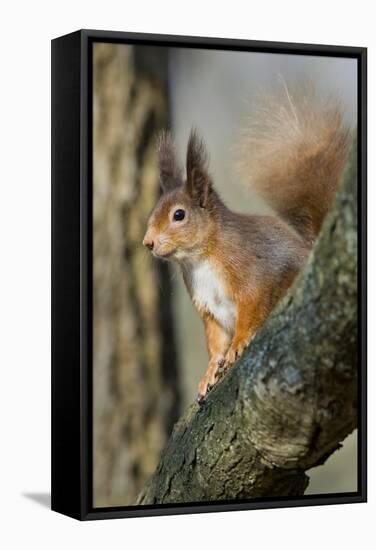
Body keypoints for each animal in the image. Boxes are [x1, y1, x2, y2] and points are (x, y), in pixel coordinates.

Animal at [142, 87, 350, 406]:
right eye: (154, 211)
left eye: (179, 215)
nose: (148, 243)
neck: (200, 259)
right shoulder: (207, 307)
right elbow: (215, 341)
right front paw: (209, 372)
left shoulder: (251, 272)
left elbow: (250, 309)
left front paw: (238, 345)